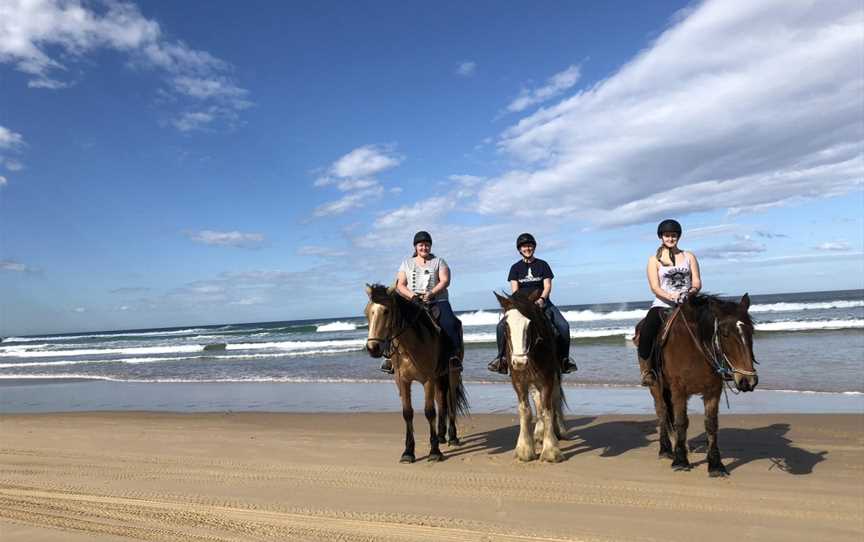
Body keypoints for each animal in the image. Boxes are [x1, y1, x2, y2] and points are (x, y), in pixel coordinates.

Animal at [364, 282, 472, 466]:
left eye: (386, 311)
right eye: (367, 312)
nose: (373, 348)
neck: (410, 347)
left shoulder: (428, 380)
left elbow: (429, 411)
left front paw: (434, 452)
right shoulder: (402, 381)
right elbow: (407, 413)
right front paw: (408, 452)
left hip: (452, 374)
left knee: (450, 402)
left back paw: (452, 437)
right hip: (439, 377)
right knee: (442, 401)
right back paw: (441, 436)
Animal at [492, 292, 568, 466]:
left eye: (530, 324)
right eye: (506, 325)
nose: (520, 362)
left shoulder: (547, 378)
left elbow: (547, 410)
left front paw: (551, 451)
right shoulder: (519, 381)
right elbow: (526, 411)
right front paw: (525, 450)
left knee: (555, 398)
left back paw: (560, 430)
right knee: (537, 401)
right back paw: (539, 433)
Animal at [636, 296, 756, 478]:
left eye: (752, 332)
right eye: (725, 333)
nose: (748, 381)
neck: (696, 348)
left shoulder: (713, 391)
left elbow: (711, 425)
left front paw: (715, 465)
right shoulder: (679, 390)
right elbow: (681, 422)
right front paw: (680, 461)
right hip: (656, 386)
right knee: (662, 412)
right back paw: (665, 450)